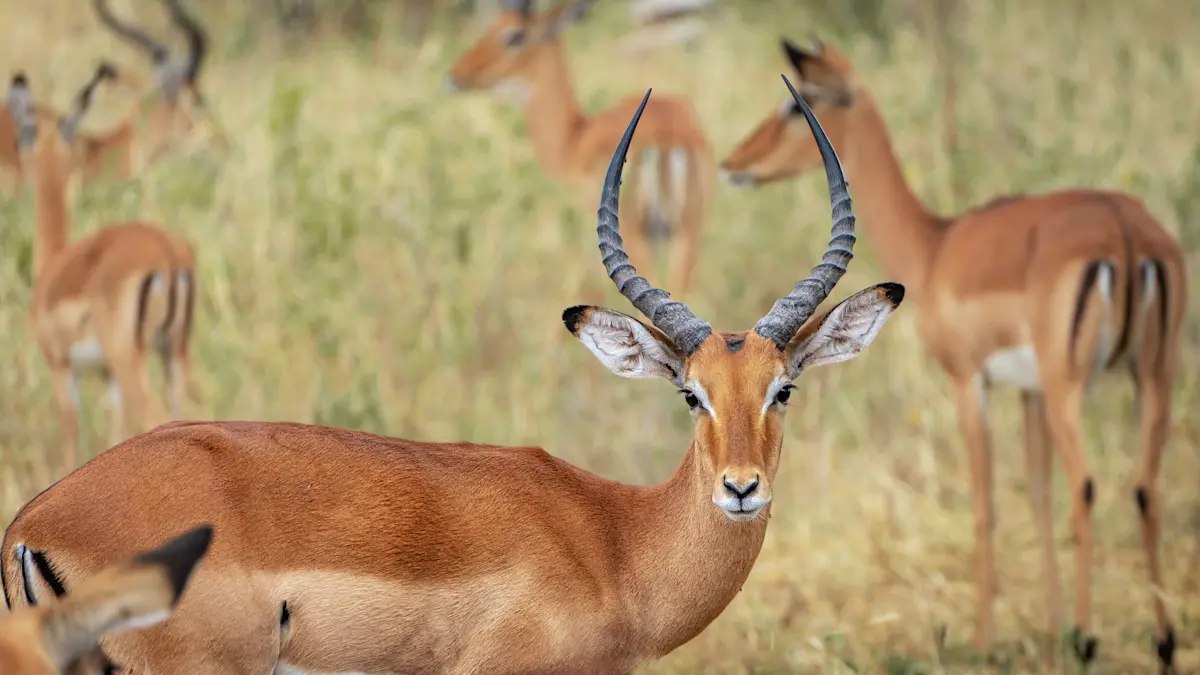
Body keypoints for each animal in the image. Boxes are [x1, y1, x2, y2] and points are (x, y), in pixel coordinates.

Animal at [7, 69, 200, 476]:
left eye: (20, 135)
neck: (54, 263)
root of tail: (168, 251)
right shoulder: (109, 380)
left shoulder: (61, 368)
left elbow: (70, 437)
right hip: (175, 353)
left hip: (131, 360)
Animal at [720, 39, 1187, 671]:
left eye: (798, 104)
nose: (733, 162)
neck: (935, 249)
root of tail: (1126, 232)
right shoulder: (1029, 393)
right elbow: (1037, 495)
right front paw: (1050, 630)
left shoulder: (972, 383)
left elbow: (986, 502)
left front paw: (988, 642)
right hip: (1151, 376)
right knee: (1144, 489)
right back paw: (1163, 643)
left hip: (1073, 385)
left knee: (1088, 486)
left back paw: (1090, 642)